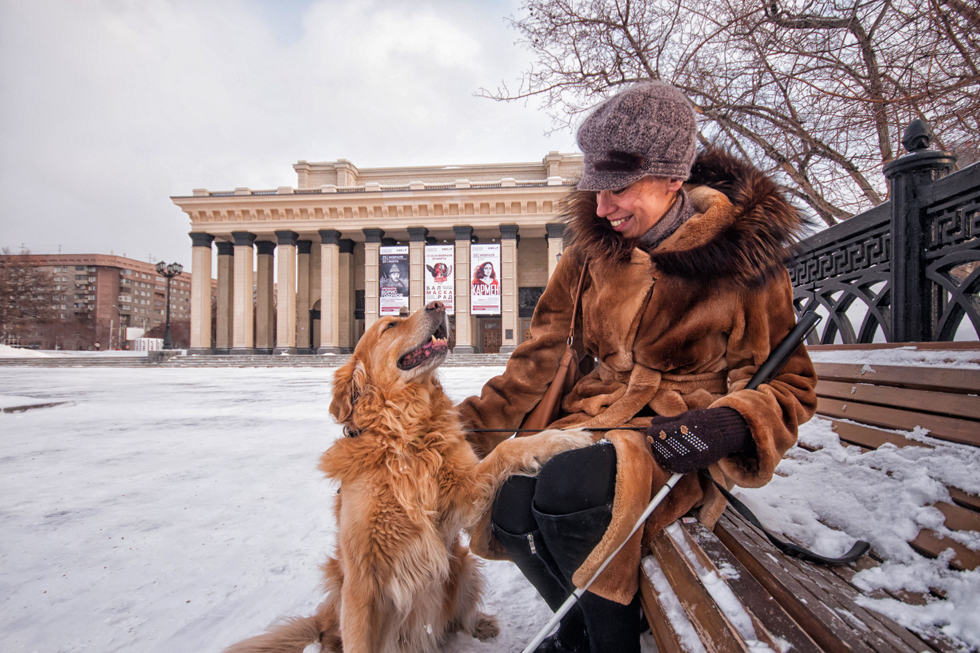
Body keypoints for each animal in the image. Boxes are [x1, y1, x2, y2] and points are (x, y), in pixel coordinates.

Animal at [224, 300, 588, 652]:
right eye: (390, 325)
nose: (439, 303)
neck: (403, 436)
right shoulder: (361, 579)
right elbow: (358, 643)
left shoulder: (457, 497)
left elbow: (507, 450)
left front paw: (561, 439)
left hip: (463, 565)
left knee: (458, 617)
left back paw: (480, 626)